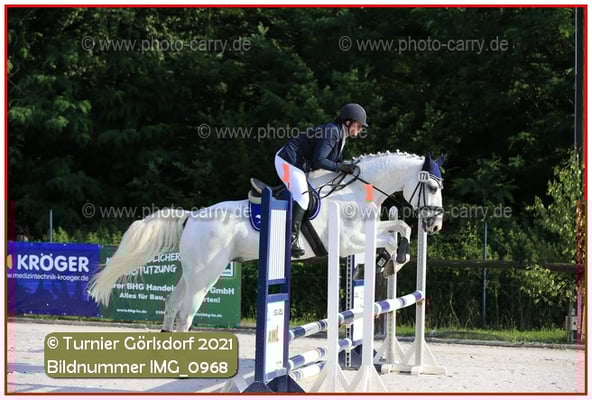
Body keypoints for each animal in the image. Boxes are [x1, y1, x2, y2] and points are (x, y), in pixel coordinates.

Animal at [88, 151, 445, 332]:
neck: (354, 190)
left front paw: (390, 263)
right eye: (432, 187)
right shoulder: (347, 242)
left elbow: (400, 227)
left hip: (191, 272)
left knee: (172, 304)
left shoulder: (366, 232)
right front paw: (394, 260)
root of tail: (191, 216)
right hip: (206, 274)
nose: (436, 223)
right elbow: (394, 234)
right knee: (186, 313)